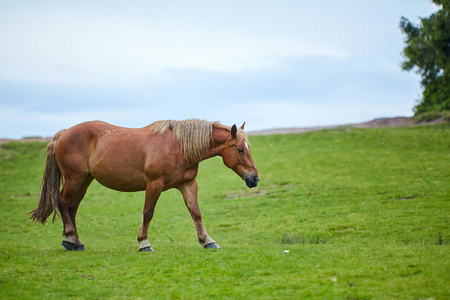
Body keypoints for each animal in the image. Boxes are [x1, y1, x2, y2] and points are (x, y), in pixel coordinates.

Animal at [29, 118, 260, 252]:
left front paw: (207, 240)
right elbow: (148, 213)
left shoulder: (187, 184)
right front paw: (144, 243)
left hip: (85, 180)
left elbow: (195, 213)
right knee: (62, 202)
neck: (179, 146)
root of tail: (64, 133)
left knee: (72, 207)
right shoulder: (154, 184)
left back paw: (77, 242)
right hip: (74, 179)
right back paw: (69, 239)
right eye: (240, 149)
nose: (255, 178)